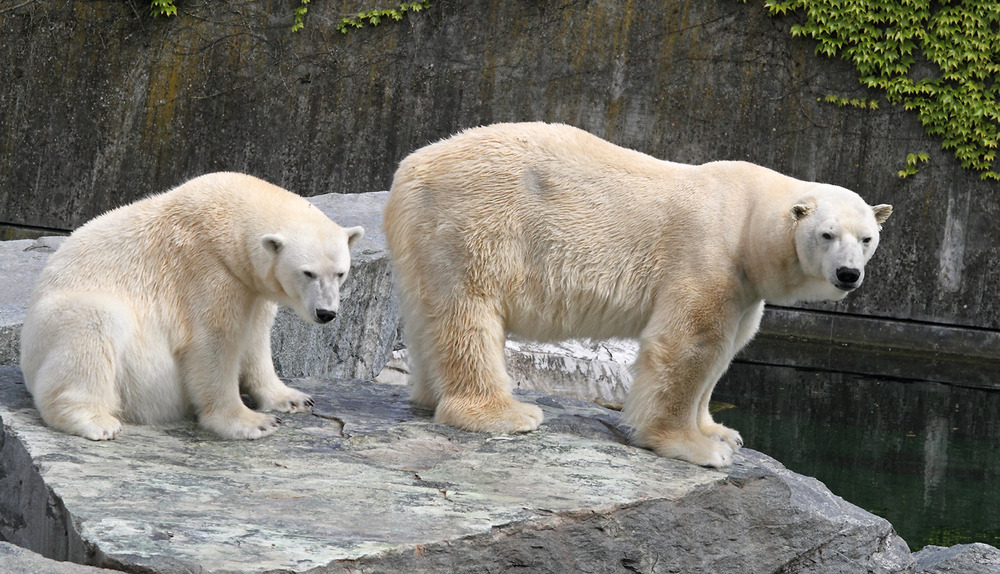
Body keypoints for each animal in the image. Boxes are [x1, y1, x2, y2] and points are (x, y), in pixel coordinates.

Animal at [21, 173, 366, 444]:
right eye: (307, 272)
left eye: (340, 273)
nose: (326, 313)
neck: (228, 215)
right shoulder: (208, 271)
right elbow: (212, 344)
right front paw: (253, 423)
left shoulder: (250, 287)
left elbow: (255, 339)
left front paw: (292, 399)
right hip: (57, 321)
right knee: (94, 325)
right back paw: (96, 421)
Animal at [382, 121, 892, 468]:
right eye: (827, 234)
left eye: (867, 238)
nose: (849, 274)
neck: (746, 218)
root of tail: (408, 169)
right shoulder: (707, 255)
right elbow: (691, 345)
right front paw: (697, 447)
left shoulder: (745, 285)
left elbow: (729, 346)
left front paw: (721, 431)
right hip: (475, 224)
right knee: (469, 315)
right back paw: (505, 413)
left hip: (428, 237)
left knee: (429, 314)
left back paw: (429, 395)